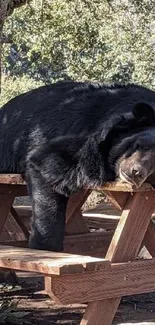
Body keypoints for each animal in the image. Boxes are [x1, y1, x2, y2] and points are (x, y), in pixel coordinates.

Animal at [0, 80, 155, 251]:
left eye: (154, 168)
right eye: (139, 145)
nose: (137, 172)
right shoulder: (85, 137)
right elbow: (47, 164)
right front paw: (45, 247)